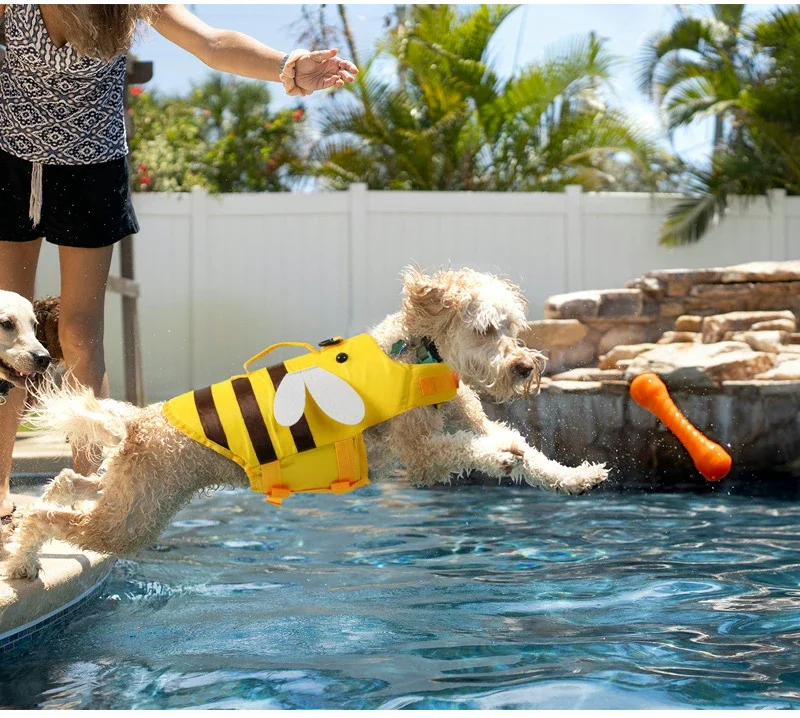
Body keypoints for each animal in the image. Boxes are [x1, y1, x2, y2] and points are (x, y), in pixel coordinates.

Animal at [4, 268, 608, 584]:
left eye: (512, 326)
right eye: (485, 330)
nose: (527, 365)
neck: (419, 356)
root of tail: (138, 419)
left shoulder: (461, 423)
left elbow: (533, 456)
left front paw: (577, 475)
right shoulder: (421, 457)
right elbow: (472, 449)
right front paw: (502, 453)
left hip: (134, 495)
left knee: (68, 484)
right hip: (134, 519)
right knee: (48, 516)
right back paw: (24, 558)